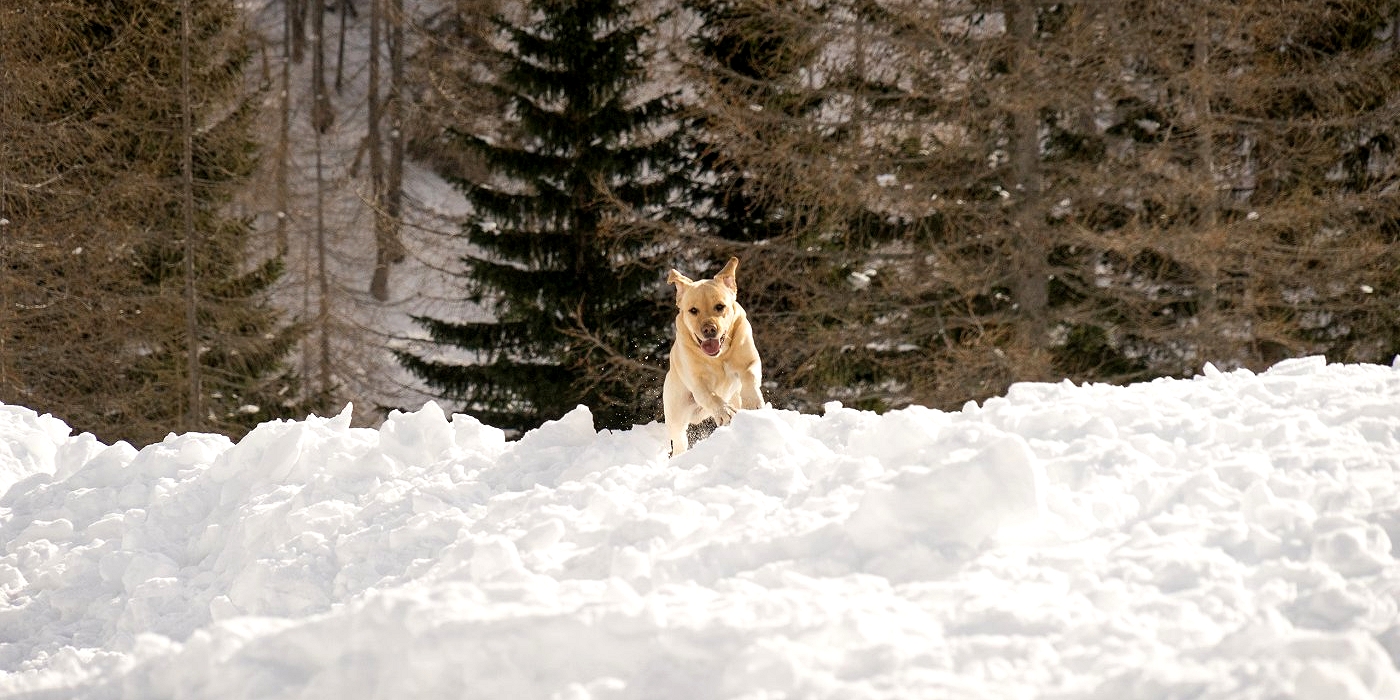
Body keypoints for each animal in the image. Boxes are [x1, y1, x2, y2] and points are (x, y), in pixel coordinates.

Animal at [663, 254, 767, 456]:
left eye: (720, 306)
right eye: (693, 310)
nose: (709, 329)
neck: (719, 356)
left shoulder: (749, 360)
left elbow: (749, 376)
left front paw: (752, 402)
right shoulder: (697, 382)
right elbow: (710, 395)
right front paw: (725, 412)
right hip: (676, 414)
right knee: (679, 440)